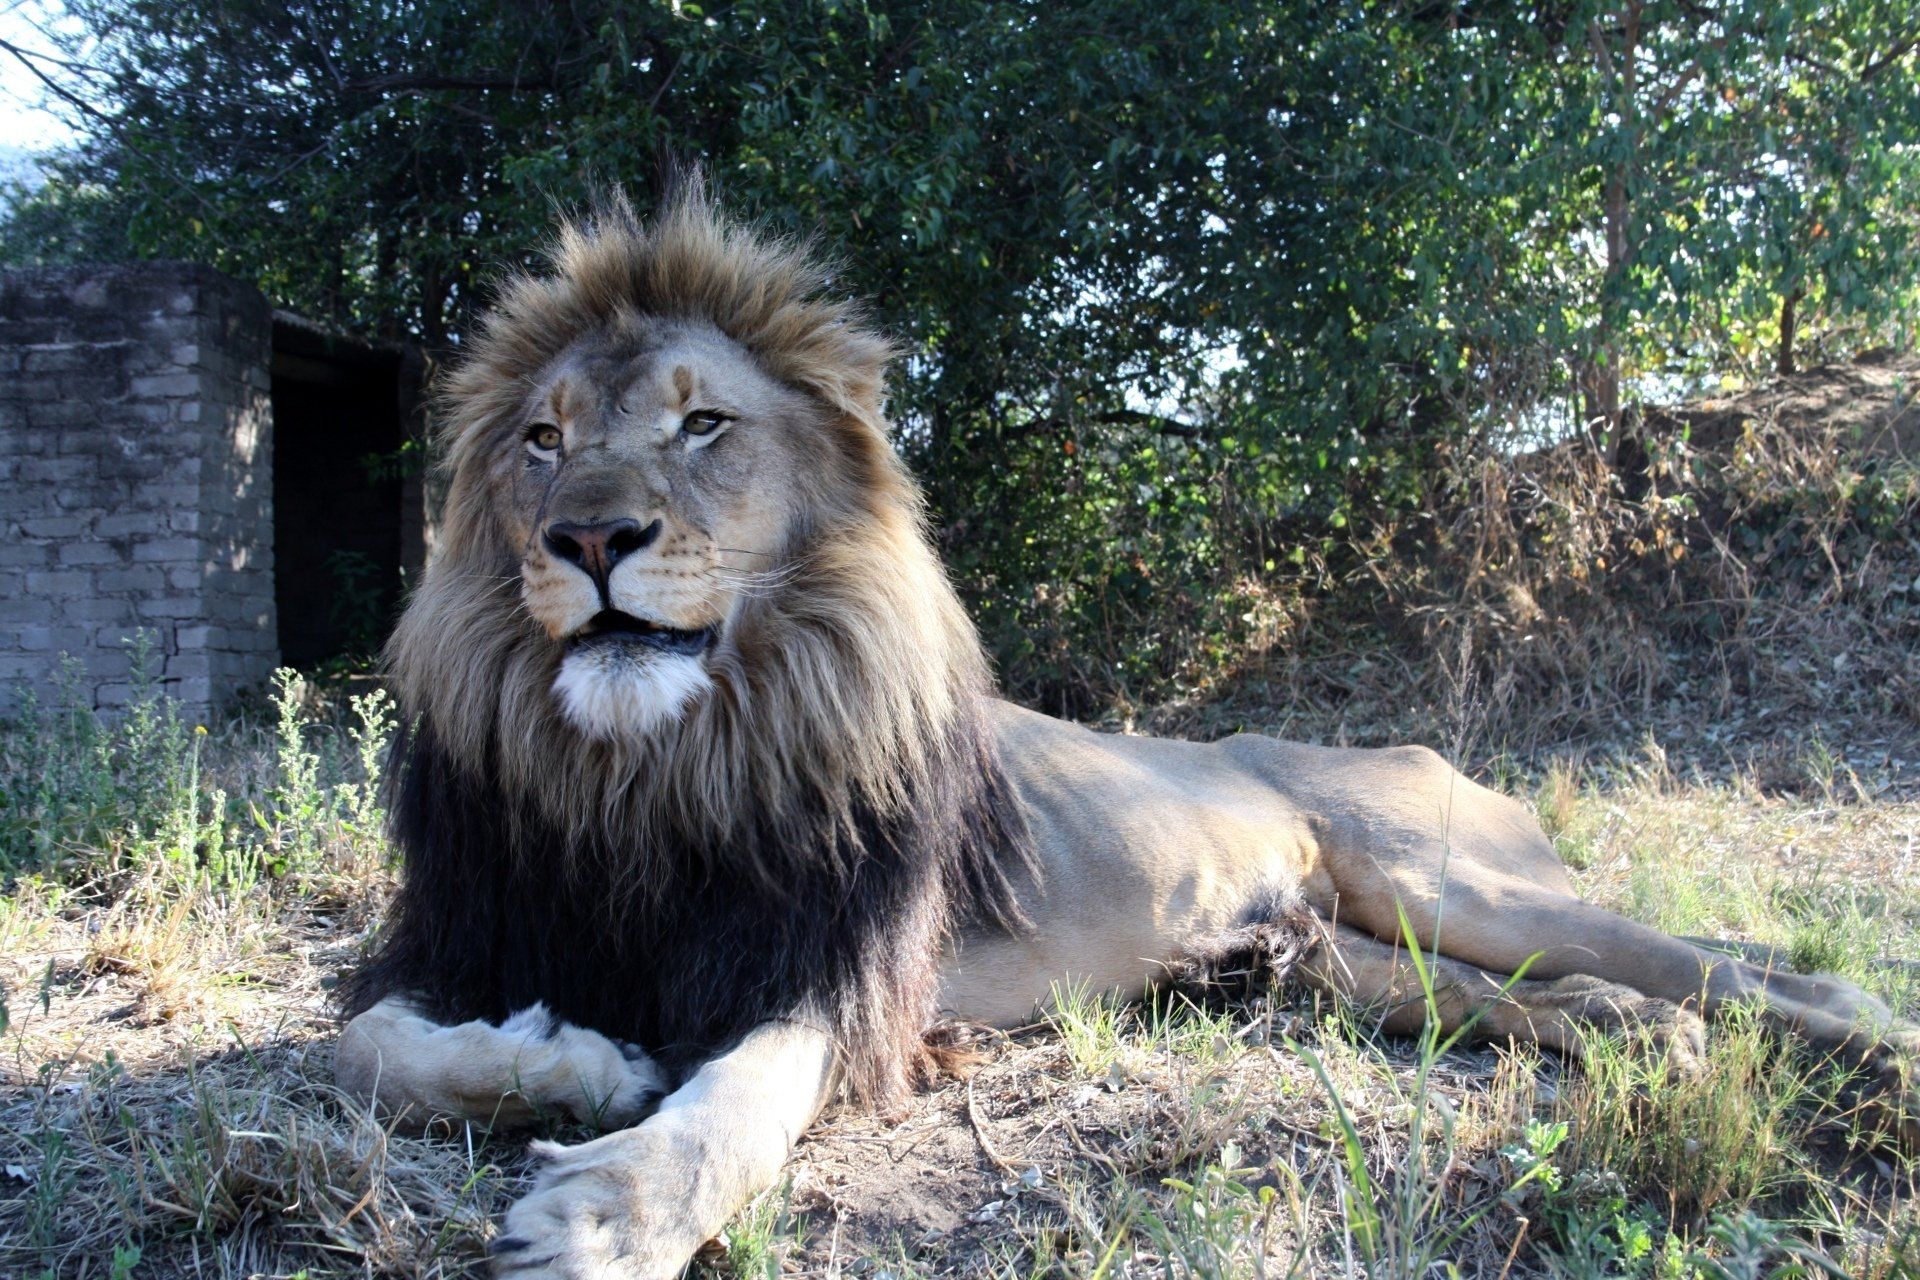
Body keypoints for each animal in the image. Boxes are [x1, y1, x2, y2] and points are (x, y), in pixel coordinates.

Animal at [335, 182, 1919, 1279]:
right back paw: (1646, 1045)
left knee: (1753, 970)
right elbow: (371, 1049)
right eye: (541, 438)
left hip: (1451, 878)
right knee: (1555, 1001)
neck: (652, 773)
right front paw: (588, 1062)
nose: (589, 536)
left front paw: (609, 1206)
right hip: (1341, 963)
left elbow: (731, 1097)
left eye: (702, 424)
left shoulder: (840, 980)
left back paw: (1869, 1050)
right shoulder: (451, 940)